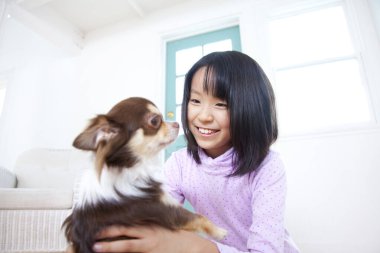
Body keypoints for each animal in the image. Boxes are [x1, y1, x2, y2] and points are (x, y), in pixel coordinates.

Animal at [63, 97, 226, 253]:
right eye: (154, 121)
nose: (176, 123)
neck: (129, 166)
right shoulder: (165, 209)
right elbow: (199, 217)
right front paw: (220, 232)